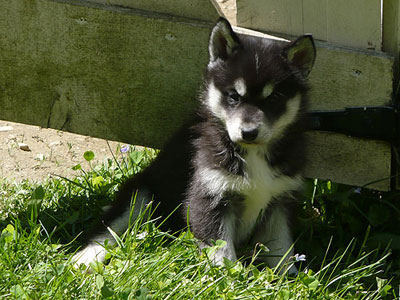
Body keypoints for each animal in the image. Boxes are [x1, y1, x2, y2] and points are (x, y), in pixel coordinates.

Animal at [72, 17, 316, 274]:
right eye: (234, 97)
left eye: (274, 98)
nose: (249, 133)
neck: (252, 153)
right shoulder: (209, 194)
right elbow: (222, 251)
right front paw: (227, 278)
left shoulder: (281, 199)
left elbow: (281, 248)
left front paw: (289, 277)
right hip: (141, 193)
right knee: (108, 229)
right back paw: (85, 257)